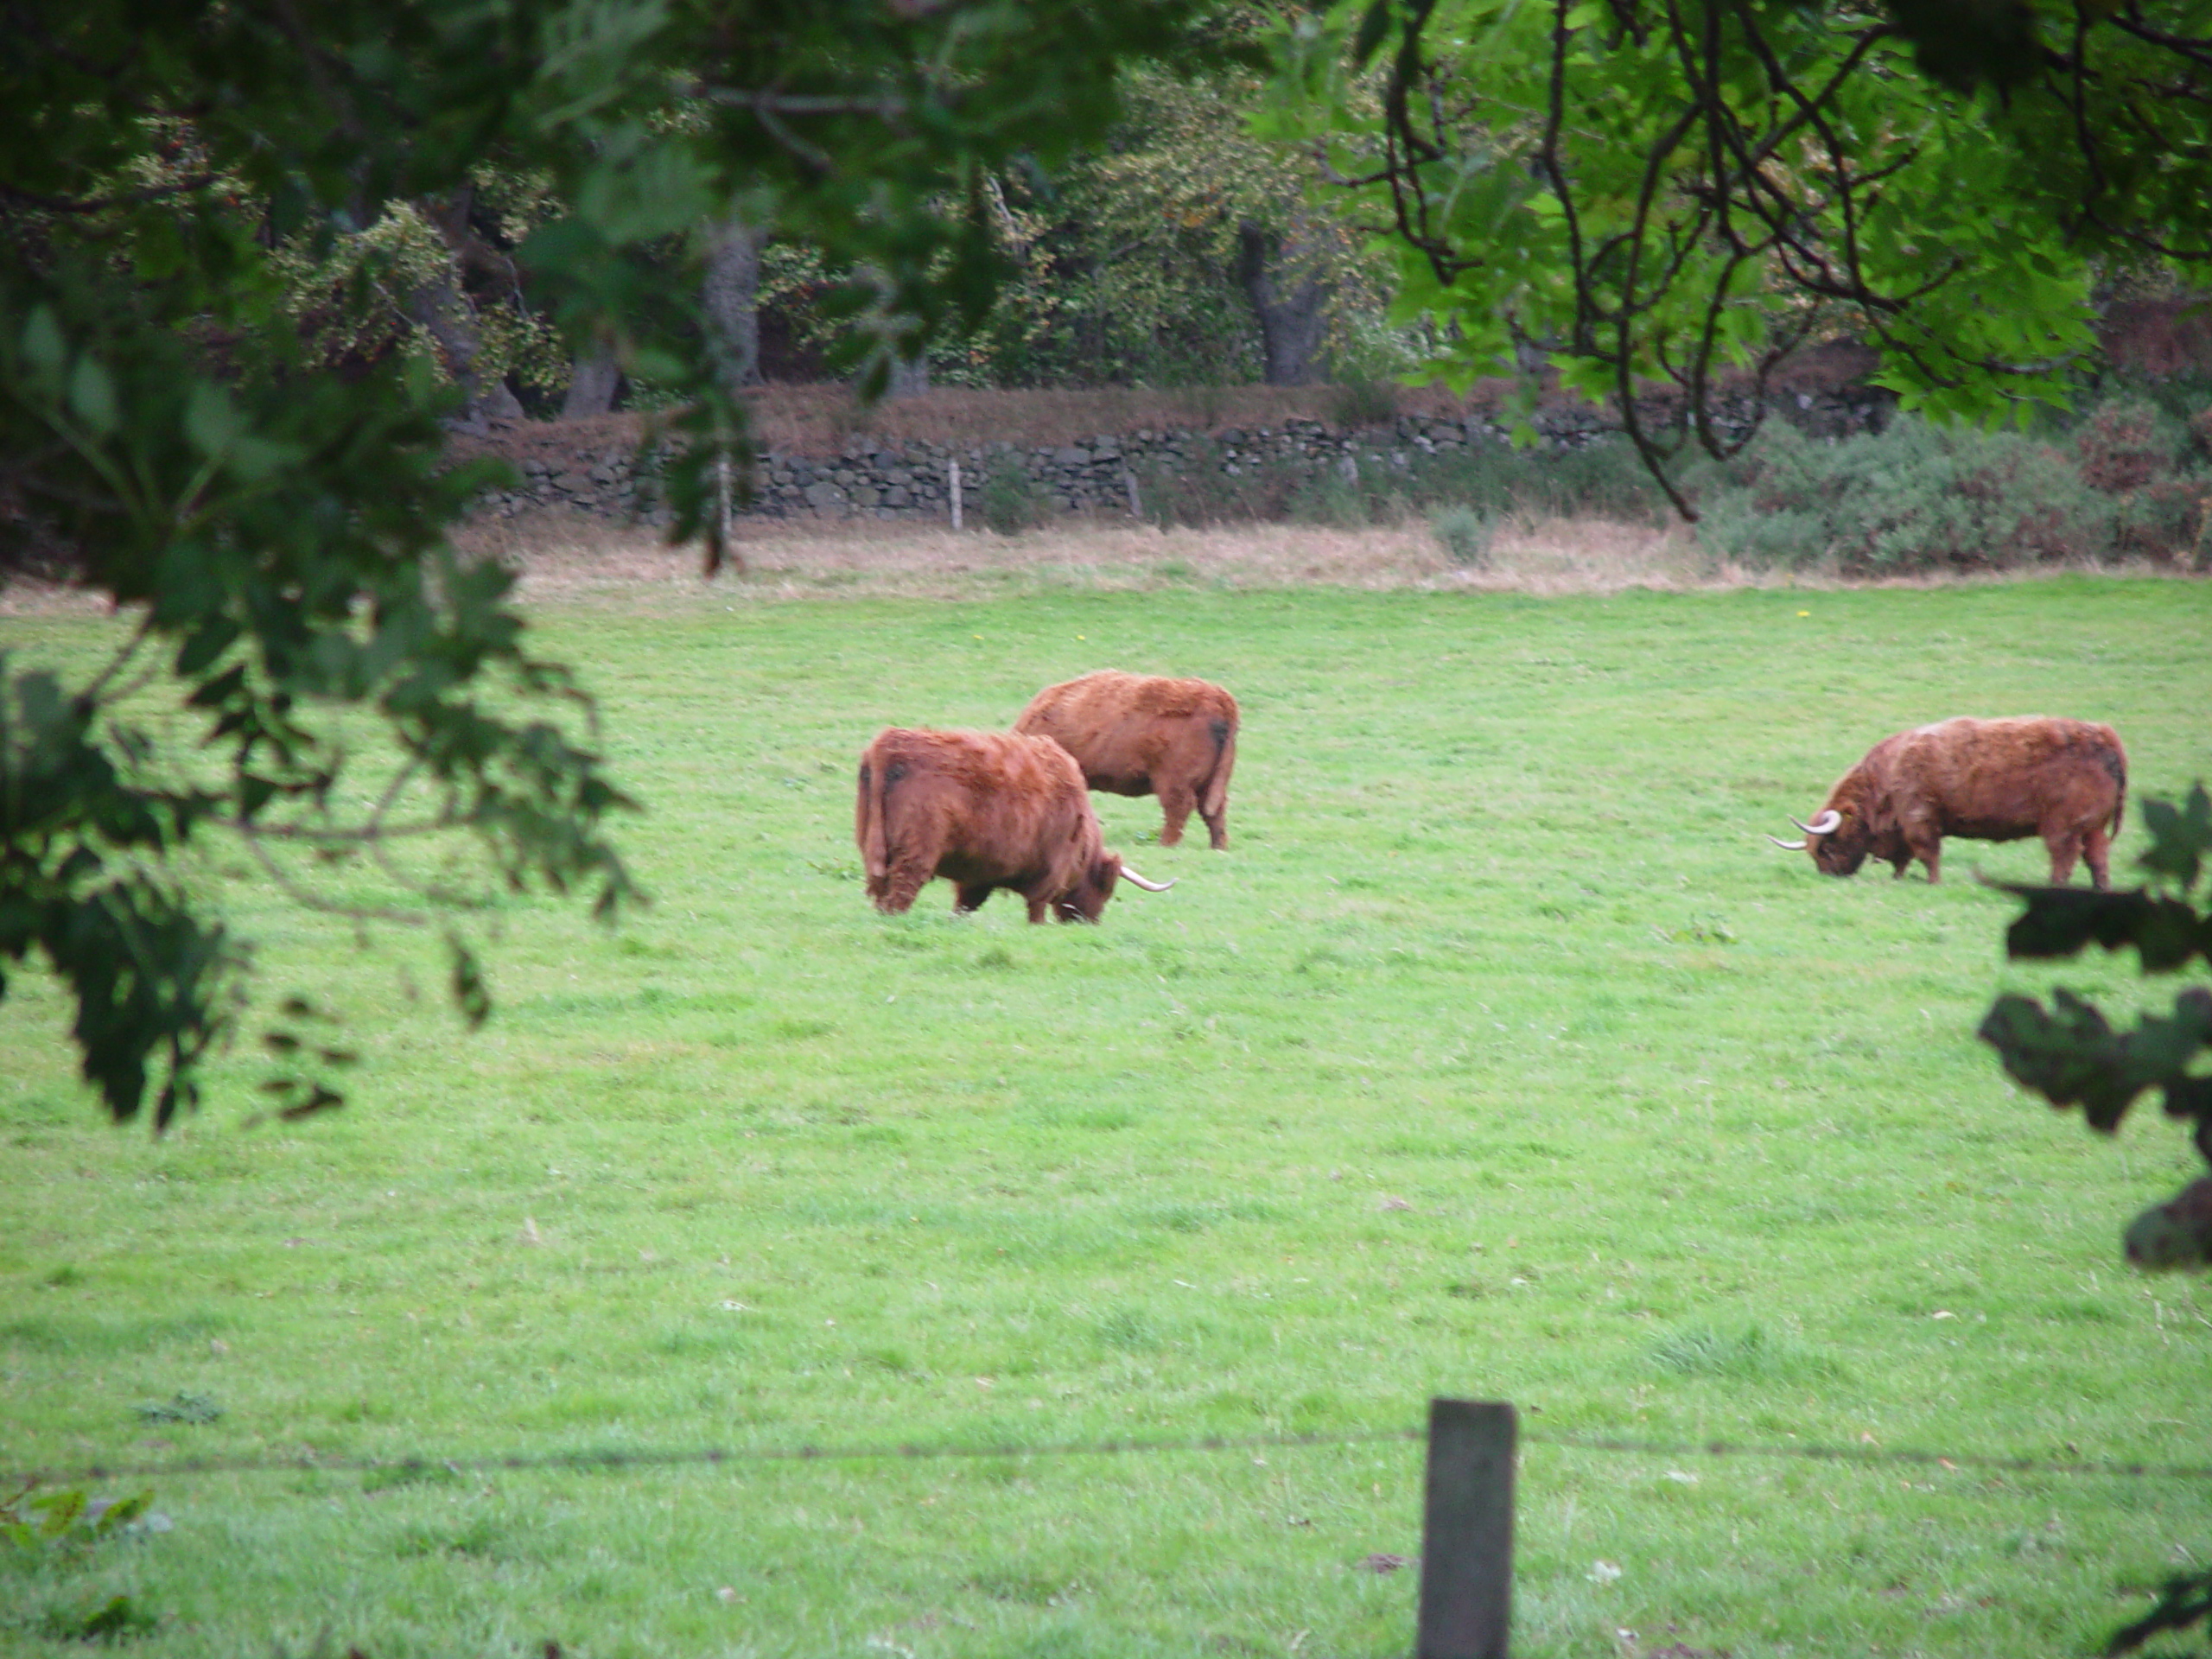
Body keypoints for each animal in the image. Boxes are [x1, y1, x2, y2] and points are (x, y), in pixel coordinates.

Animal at [844, 734, 1176, 929]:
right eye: (1105, 890)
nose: (1088, 924)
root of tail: (889, 744)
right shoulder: (1050, 872)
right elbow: (1036, 909)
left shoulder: (977, 876)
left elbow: (964, 905)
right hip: (916, 853)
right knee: (899, 894)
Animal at [1013, 668, 1238, 849]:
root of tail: (1217, 696)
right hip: (1209, 782)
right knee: (1214, 810)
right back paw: (1217, 846)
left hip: (1175, 781)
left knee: (1180, 808)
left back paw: (1165, 844)